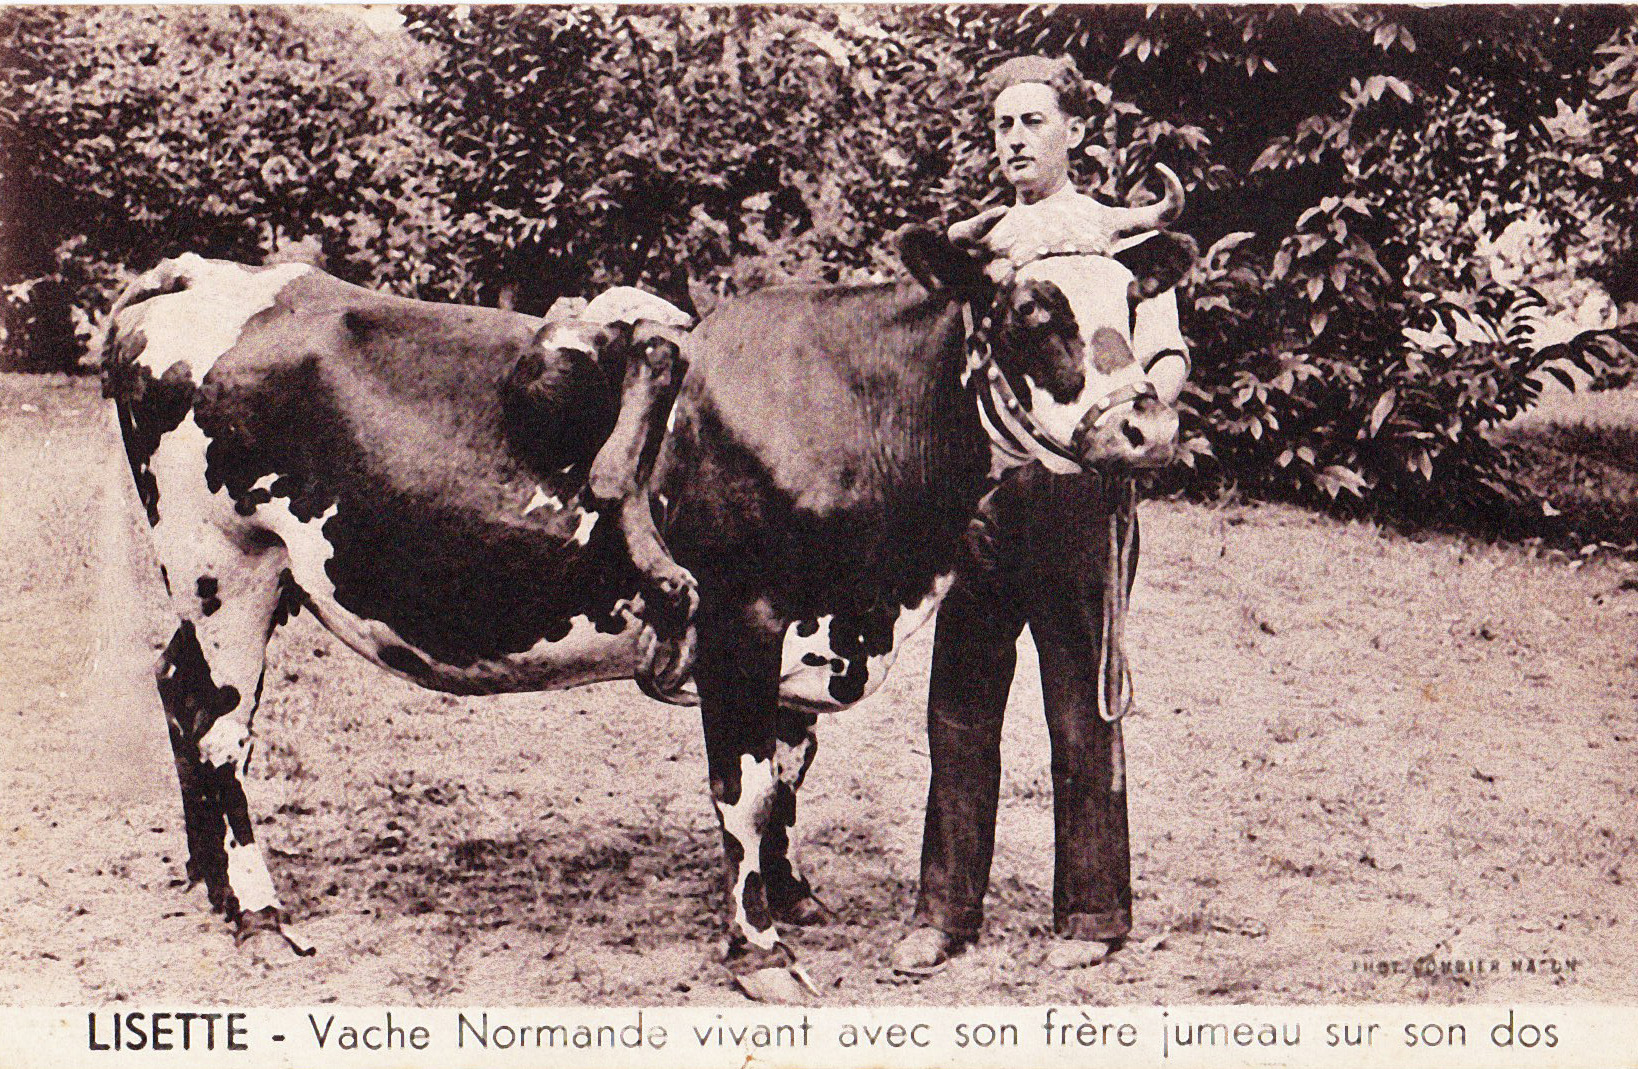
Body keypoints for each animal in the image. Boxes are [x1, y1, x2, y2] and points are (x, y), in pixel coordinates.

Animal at [99, 181, 1192, 1001]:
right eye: (1031, 311)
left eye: (1131, 301)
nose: (1142, 426)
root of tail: (203, 273)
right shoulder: (743, 618)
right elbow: (744, 788)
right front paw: (760, 950)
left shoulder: (810, 635)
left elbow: (789, 770)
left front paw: (793, 895)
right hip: (225, 566)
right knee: (222, 731)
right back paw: (258, 910)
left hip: (239, 583)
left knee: (174, 690)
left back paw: (209, 883)